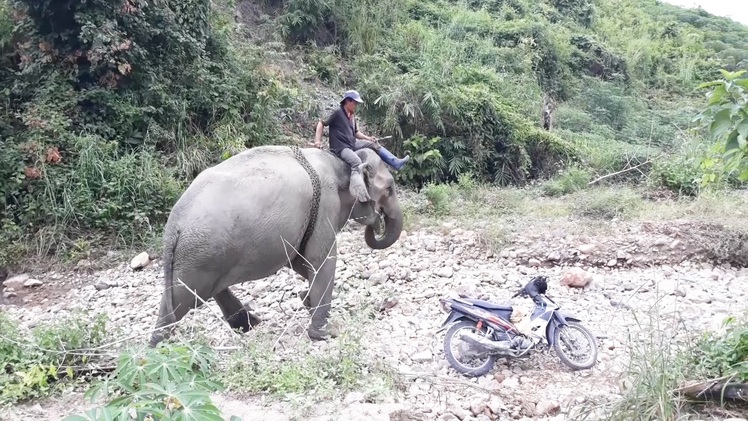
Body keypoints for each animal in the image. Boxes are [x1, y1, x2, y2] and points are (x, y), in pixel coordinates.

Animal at [147, 143, 404, 346]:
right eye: (389, 188)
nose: (377, 221)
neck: (339, 161)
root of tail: (173, 226)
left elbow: (300, 260)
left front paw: (305, 298)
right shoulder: (324, 208)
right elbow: (321, 260)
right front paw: (324, 333)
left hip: (202, 255)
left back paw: (248, 324)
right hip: (199, 254)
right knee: (181, 302)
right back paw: (158, 351)